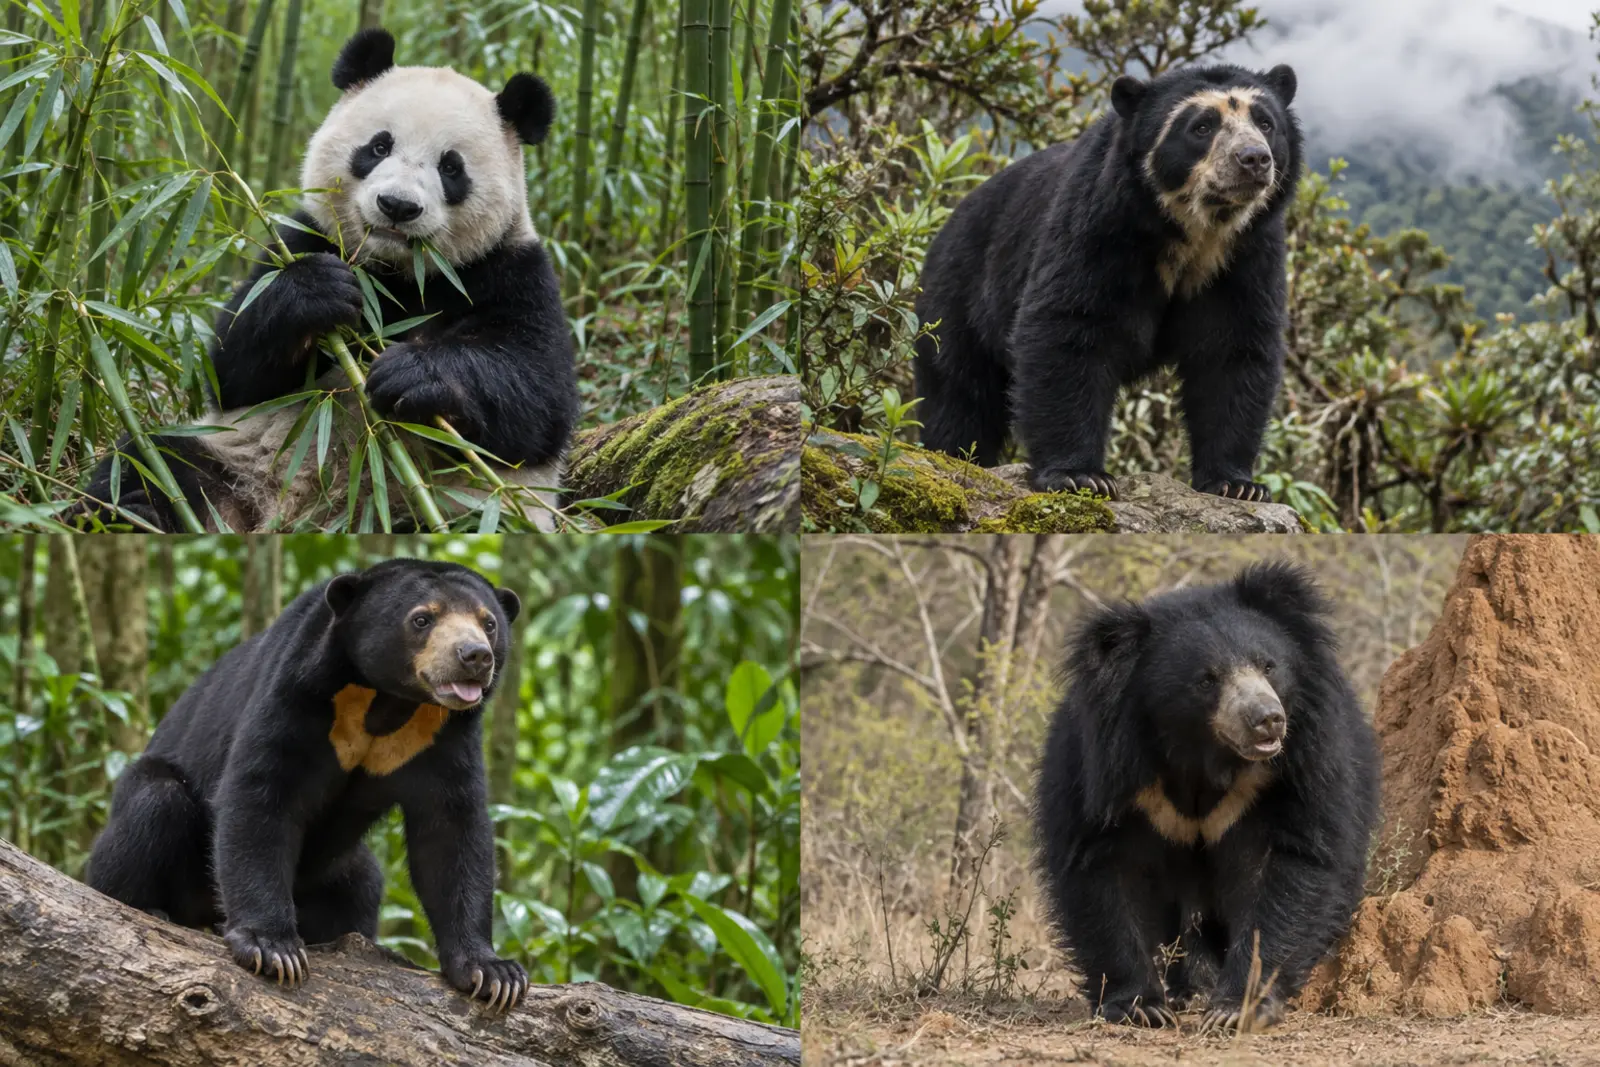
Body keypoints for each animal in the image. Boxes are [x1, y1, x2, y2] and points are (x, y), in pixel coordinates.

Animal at [82, 28, 579, 531]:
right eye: (378, 147)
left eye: (451, 167)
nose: (397, 206)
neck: (396, 274)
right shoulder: (304, 236)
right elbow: (231, 365)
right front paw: (317, 292)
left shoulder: (510, 269)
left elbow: (537, 398)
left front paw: (412, 374)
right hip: (232, 451)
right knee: (156, 461)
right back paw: (133, 512)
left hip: (459, 507)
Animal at [86, 558, 528, 1012]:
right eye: (422, 619)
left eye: (489, 623)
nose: (475, 656)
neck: (388, 701)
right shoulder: (298, 692)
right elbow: (261, 795)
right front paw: (273, 948)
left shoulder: (443, 735)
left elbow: (452, 830)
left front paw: (493, 973)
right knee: (153, 806)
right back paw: (151, 910)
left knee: (362, 884)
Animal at [913, 63, 1303, 502]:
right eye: (1201, 127)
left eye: (1266, 122)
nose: (1253, 159)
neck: (1194, 231)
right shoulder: (1099, 225)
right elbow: (1069, 327)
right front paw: (1079, 476)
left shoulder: (1248, 255)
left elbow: (1233, 349)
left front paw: (1237, 485)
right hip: (957, 299)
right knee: (959, 396)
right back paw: (952, 455)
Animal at [1032, 562, 1379, 1032]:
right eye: (1207, 680)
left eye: (1269, 665)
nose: (1267, 719)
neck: (1205, 756)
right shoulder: (1100, 771)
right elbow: (1102, 870)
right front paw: (1141, 1006)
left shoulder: (1300, 766)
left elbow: (1292, 865)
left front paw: (1235, 1008)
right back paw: (1188, 990)